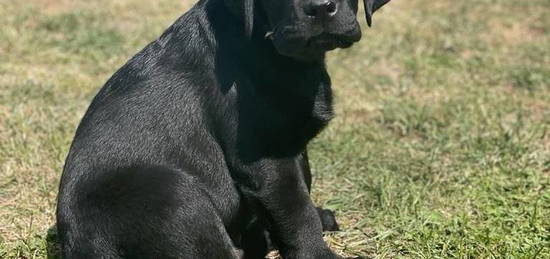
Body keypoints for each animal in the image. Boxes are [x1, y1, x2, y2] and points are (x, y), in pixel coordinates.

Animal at [56, 0, 390, 258]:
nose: (320, 7)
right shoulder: (265, 157)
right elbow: (296, 210)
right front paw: (316, 250)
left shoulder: (292, 145)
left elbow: (301, 186)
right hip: (171, 194)